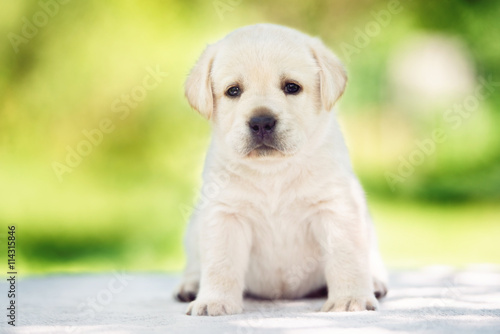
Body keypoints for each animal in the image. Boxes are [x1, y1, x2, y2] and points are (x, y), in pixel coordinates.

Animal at [176, 23, 390, 316]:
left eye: (291, 87)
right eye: (233, 91)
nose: (261, 122)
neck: (273, 171)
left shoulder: (337, 208)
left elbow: (346, 258)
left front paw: (350, 299)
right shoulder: (225, 214)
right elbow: (220, 264)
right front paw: (214, 301)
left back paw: (376, 282)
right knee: (195, 264)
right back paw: (189, 285)